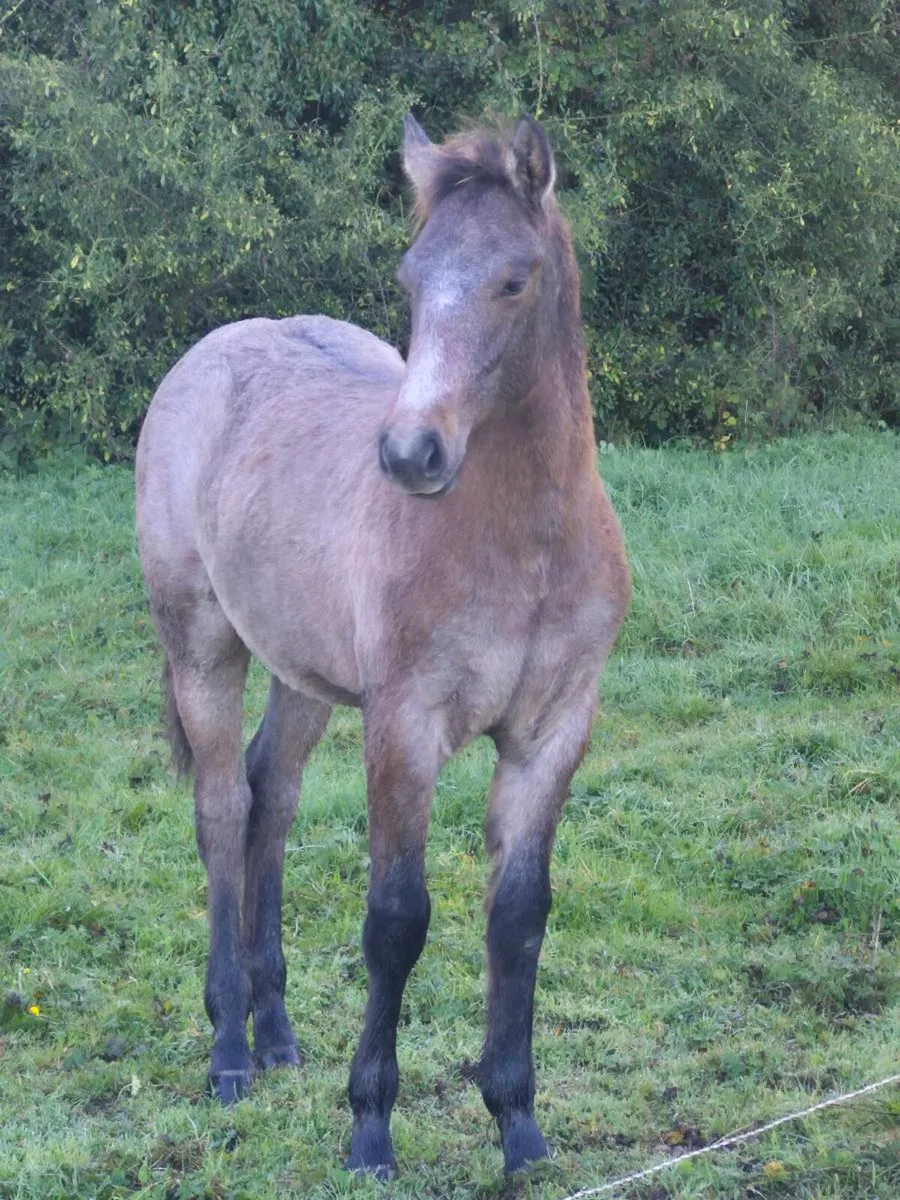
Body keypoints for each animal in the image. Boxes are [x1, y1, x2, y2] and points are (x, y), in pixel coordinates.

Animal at [135, 113, 630, 1178]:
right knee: (220, 809)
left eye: (514, 279)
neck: (526, 542)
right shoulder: (405, 725)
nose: (411, 454)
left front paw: (518, 1126)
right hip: (203, 643)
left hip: (304, 673)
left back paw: (277, 1037)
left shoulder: (554, 730)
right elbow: (397, 920)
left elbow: (519, 917)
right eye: (410, 277)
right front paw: (368, 1128)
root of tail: (211, 351)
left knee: (269, 795)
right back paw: (230, 1050)